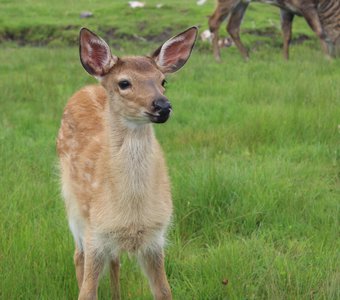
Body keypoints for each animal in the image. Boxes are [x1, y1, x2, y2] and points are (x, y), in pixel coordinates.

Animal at [56, 26, 198, 300]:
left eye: (163, 81)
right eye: (124, 83)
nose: (163, 105)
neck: (132, 212)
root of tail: (86, 88)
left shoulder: (156, 237)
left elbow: (164, 291)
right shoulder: (95, 233)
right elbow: (87, 292)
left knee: (116, 260)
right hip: (73, 206)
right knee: (78, 255)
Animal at [207, 0, 340, 61]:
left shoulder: (287, 8)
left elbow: (287, 34)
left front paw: (286, 59)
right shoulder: (306, 5)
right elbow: (320, 32)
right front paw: (328, 58)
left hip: (243, 2)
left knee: (232, 26)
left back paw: (247, 57)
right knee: (213, 22)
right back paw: (218, 58)